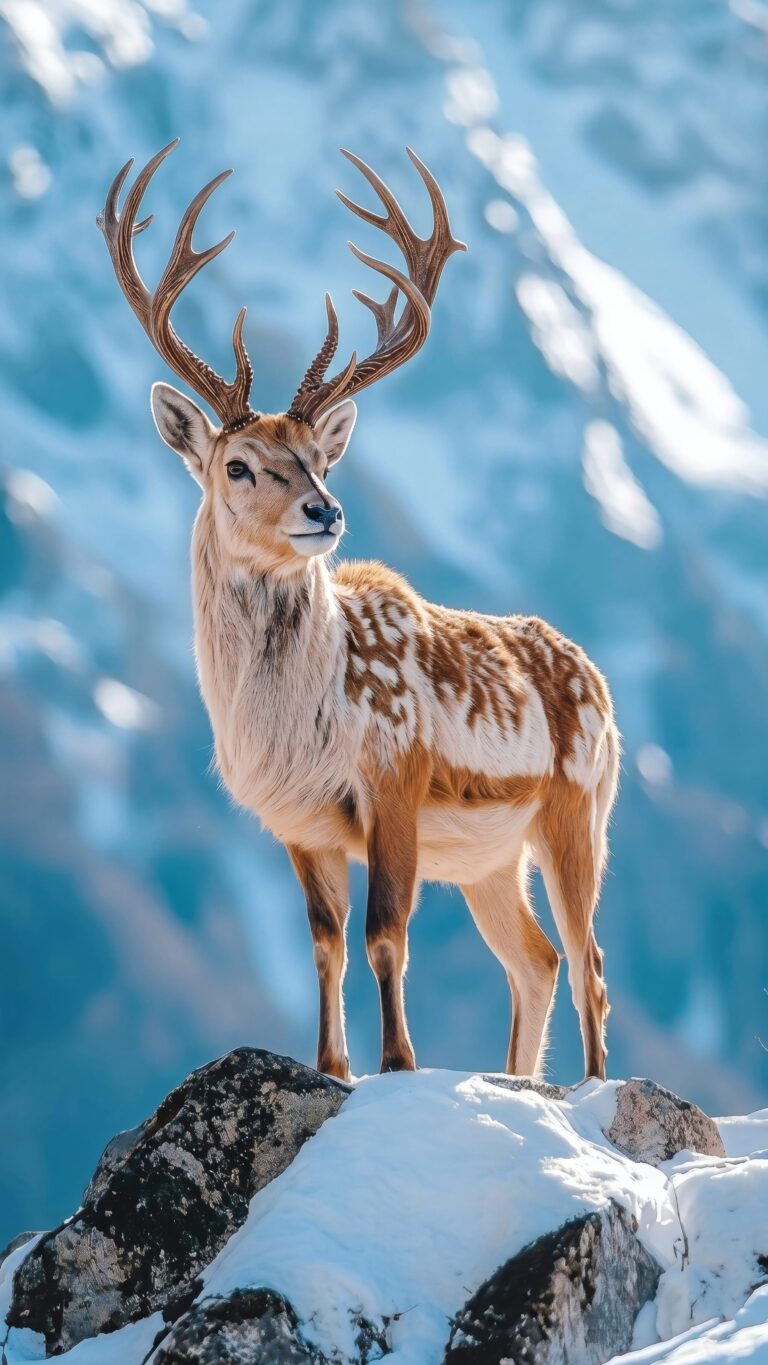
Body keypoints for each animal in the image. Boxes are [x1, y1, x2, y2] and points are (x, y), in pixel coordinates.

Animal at [97, 139, 619, 1085]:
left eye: (319, 458)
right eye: (237, 463)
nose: (326, 510)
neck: (298, 725)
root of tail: (595, 675)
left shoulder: (395, 776)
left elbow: (385, 934)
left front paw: (399, 1064)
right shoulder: (298, 822)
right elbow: (325, 943)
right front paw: (333, 1065)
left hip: (577, 806)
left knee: (589, 956)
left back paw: (593, 1086)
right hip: (490, 858)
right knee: (539, 957)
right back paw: (519, 1080)